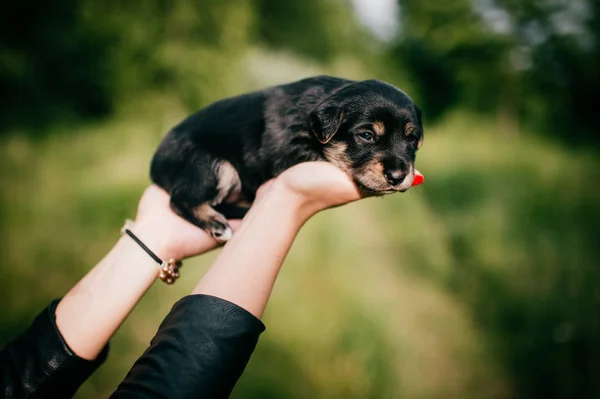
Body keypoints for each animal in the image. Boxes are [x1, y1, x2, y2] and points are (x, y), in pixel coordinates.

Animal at [149, 76, 422, 242]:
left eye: (412, 139)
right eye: (367, 135)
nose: (397, 177)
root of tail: (155, 165)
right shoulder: (289, 152)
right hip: (214, 166)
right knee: (179, 199)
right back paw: (217, 223)